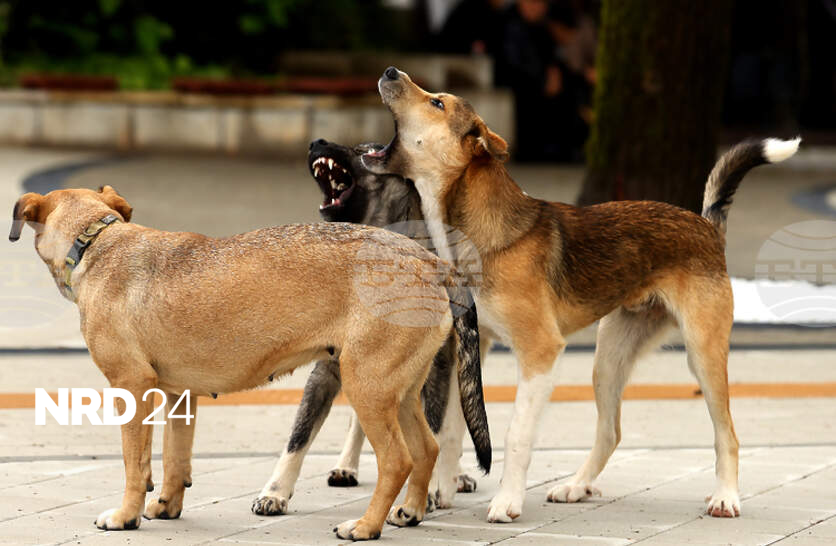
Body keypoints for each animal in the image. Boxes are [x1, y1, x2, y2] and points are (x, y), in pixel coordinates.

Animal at [10, 185, 491, 540]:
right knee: (426, 449)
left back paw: (365, 527)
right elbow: (175, 459)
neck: (96, 241)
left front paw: (126, 515)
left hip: (367, 389)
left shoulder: (132, 387)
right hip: (401, 391)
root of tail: (430, 260)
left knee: (397, 460)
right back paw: (409, 512)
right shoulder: (179, 396)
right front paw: (166, 506)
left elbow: (136, 463)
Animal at [252, 139, 478, 518]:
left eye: (365, 152)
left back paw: (455, 475)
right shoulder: (326, 370)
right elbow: (299, 436)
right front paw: (275, 491)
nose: (316, 142)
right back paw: (347, 465)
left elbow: (433, 430)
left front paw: (427, 490)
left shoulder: (436, 371)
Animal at [364, 66, 800, 522]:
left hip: (703, 354)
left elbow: (516, 435)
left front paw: (507, 500)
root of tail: (706, 226)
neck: (477, 233)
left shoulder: (540, 353)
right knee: (611, 431)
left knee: (726, 433)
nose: (390, 71)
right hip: (608, 362)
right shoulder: (468, 347)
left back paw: (726, 496)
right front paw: (442, 491)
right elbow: (452, 428)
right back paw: (577, 486)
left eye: (437, 103)